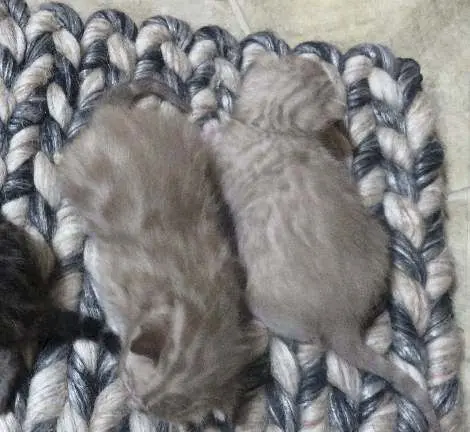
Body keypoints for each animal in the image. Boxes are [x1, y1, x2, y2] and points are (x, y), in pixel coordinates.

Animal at [57, 79, 260, 424]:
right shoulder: (112, 273)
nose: (133, 404)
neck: (190, 303)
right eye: (129, 381)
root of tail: (113, 115)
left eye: (149, 407)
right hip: (78, 165)